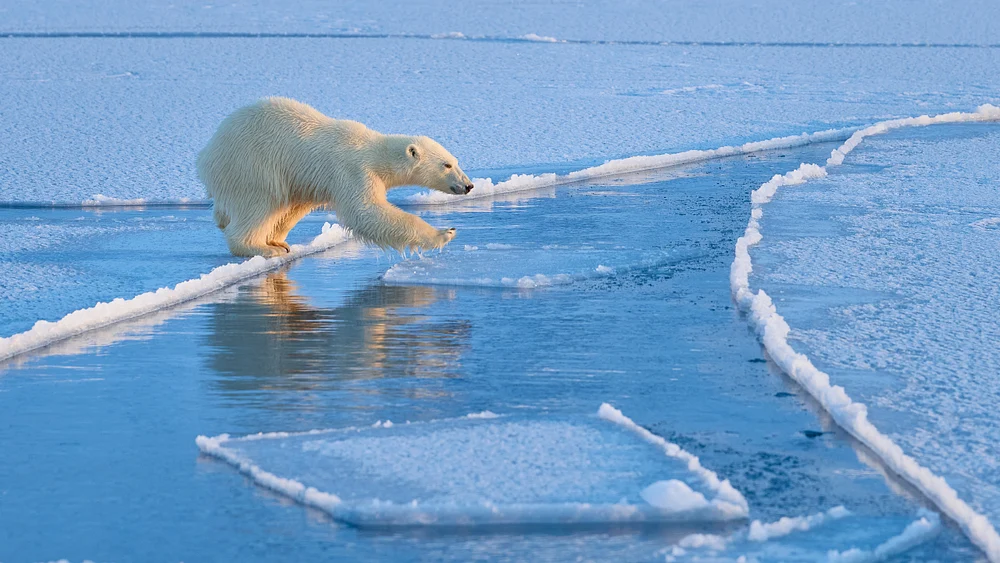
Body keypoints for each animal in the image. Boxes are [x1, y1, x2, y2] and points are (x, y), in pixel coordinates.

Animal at [196, 97, 474, 257]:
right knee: (258, 205)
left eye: (456, 161)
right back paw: (262, 248)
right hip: (251, 165)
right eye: (447, 164)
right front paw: (444, 233)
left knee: (285, 208)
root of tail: (206, 156)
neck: (374, 151)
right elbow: (366, 212)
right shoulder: (353, 171)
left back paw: (277, 241)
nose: (469, 185)